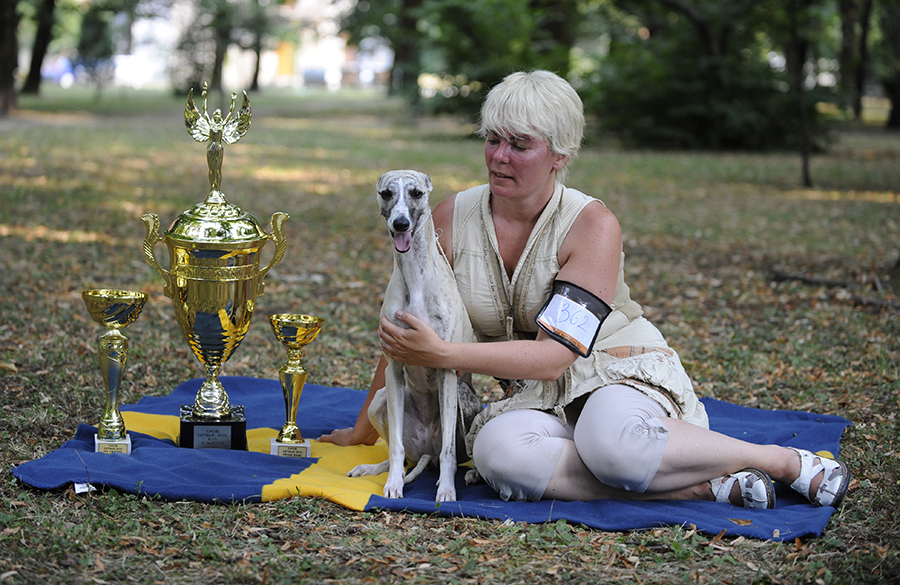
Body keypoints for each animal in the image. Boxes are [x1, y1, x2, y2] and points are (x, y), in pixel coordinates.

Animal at [348, 169, 482, 502]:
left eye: (417, 193)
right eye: (386, 193)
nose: (400, 224)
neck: (415, 279)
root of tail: (426, 451)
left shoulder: (446, 369)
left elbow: (449, 452)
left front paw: (446, 489)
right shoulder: (394, 368)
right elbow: (395, 446)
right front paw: (393, 484)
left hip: (461, 401)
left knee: (451, 451)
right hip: (381, 400)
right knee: (402, 453)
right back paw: (374, 469)